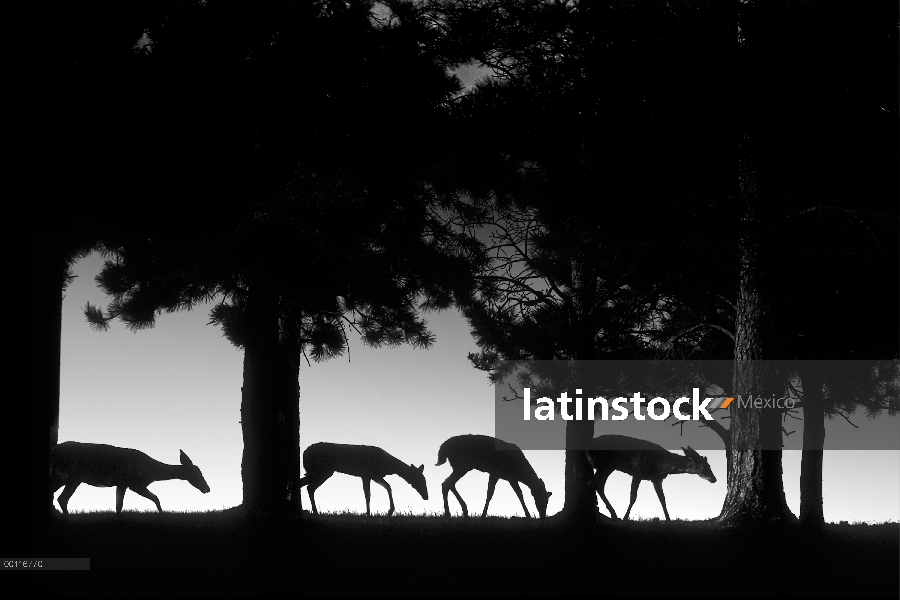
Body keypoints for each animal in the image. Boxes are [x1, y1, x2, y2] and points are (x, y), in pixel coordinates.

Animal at [50, 440, 211, 516]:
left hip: (73, 478)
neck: (152, 473)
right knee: (60, 497)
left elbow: (119, 505)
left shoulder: (123, 484)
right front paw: (162, 515)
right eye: (197, 473)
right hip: (66, 475)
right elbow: (156, 498)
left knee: (61, 498)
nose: (207, 488)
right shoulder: (135, 483)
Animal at [298, 440, 428, 516]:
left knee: (304, 485)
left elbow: (387, 487)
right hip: (322, 470)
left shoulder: (374, 476)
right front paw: (369, 514)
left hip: (316, 471)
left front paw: (389, 511)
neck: (388, 467)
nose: (426, 496)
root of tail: (304, 453)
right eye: (420, 480)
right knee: (310, 487)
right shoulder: (366, 475)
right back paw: (315, 512)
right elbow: (368, 495)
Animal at [584, 436, 716, 520]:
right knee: (593, 484)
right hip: (604, 464)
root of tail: (587, 447)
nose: (714, 479)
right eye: (704, 466)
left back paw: (613, 514)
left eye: (709, 465)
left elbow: (662, 499)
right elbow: (633, 497)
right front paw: (625, 518)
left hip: (608, 467)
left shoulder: (656, 479)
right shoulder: (637, 472)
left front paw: (669, 520)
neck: (662, 464)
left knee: (598, 486)